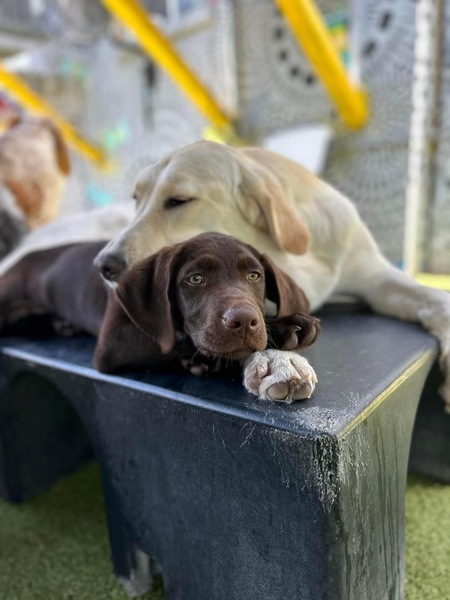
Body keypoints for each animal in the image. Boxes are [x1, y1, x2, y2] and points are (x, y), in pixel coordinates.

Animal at [95, 142, 450, 408]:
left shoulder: (376, 276)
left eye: (179, 200)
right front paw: (280, 361)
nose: (103, 266)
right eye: (136, 200)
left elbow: (438, 301)